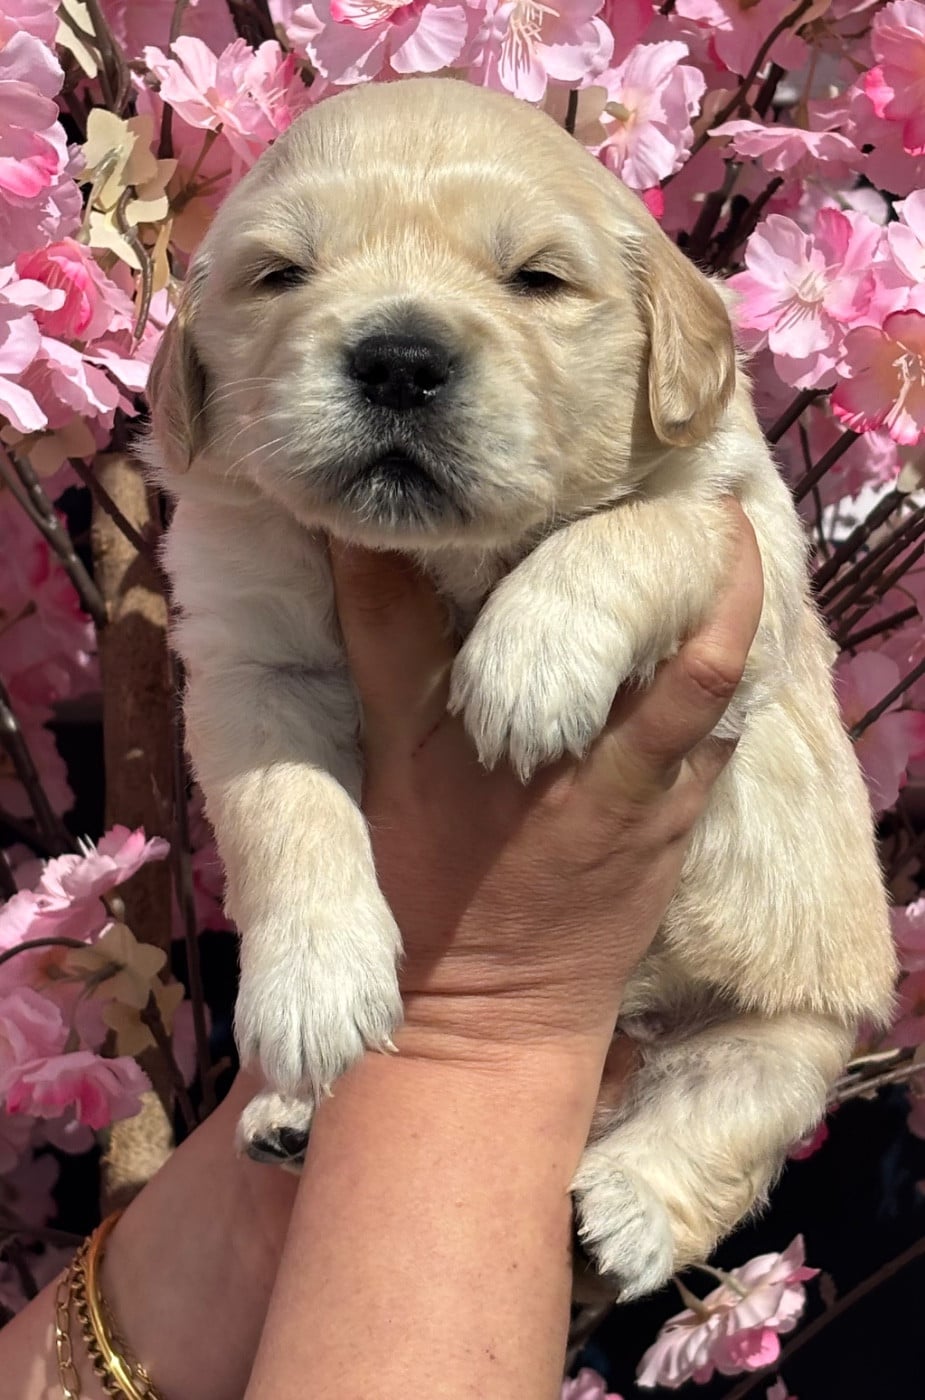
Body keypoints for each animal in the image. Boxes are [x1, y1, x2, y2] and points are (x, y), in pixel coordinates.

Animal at [146, 76, 896, 1300]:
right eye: (281, 274)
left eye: (537, 279)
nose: (398, 358)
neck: (448, 557)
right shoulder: (248, 650)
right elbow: (285, 806)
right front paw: (310, 989)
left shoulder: (748, 541)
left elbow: (639, 528)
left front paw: (527, 658)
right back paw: (290, 1117)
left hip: (798, 1028)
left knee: (728, 1110)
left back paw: (625, 1211)